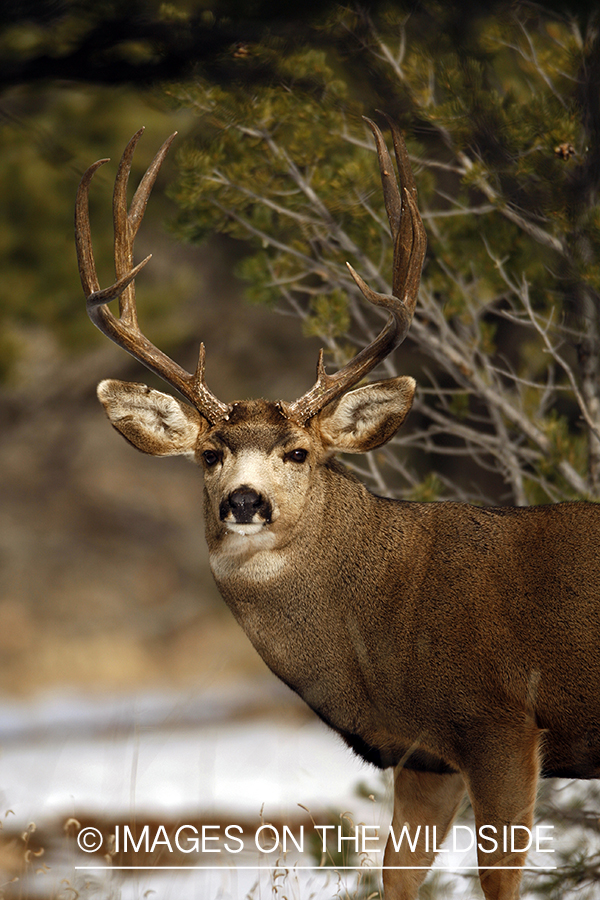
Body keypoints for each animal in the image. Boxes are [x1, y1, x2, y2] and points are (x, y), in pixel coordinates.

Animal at [75, 119, 600, 900]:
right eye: (210, 454)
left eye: (299, 452)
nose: (244, 501)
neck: (384, 618)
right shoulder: (426, 754)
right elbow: (397, 877)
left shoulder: (502, 719)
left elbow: (500, 881)